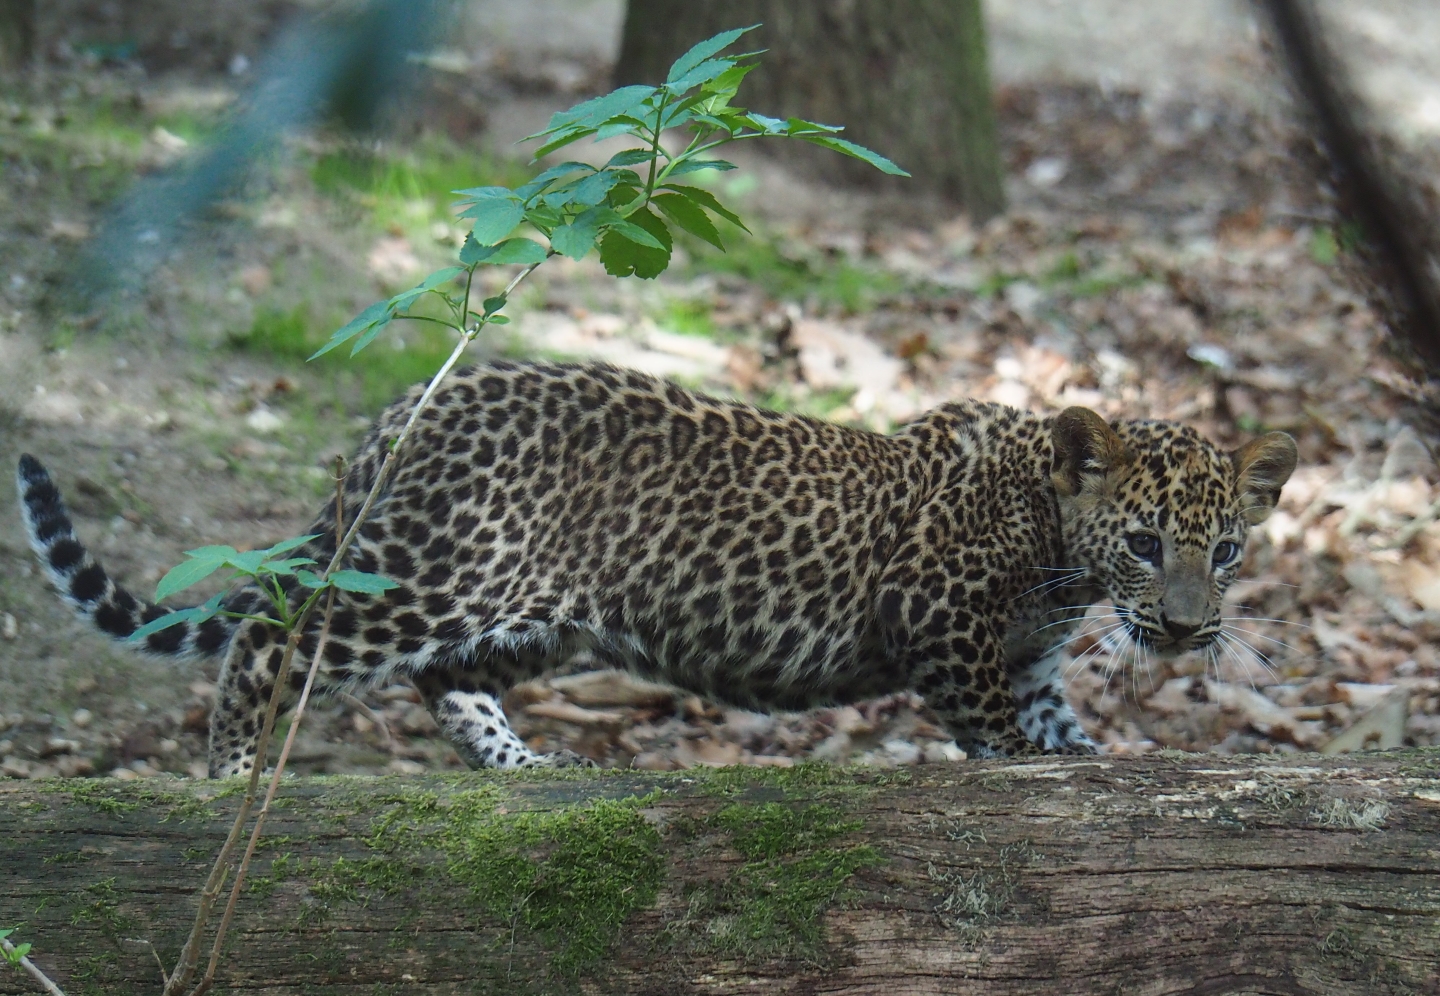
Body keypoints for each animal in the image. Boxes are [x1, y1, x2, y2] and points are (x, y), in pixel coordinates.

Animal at [17, 359, 1297, 777]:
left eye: (1226, 551)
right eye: (1145, 543)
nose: (1189, 629)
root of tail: (405, 410)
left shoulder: (1026, 663)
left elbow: (1058, 731)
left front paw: (1095, 765)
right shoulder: (941, 625)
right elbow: (1000, 736)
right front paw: (1041, 773)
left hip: (533, 617)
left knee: (445, 682)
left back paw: (524, 770)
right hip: (431, 575)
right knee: (269, 639)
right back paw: (229, 777)